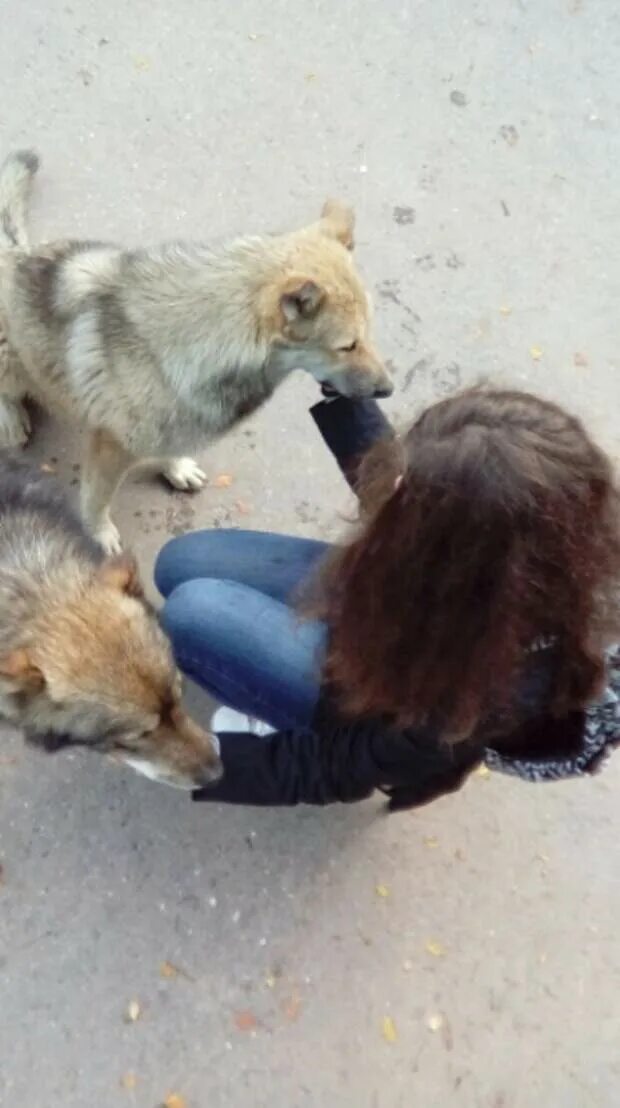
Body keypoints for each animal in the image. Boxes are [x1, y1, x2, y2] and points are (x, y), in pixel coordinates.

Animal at [0, 154, 391, 551]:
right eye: (347, 346)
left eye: (367, 334)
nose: (387, 390)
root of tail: (14, 253)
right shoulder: (111, 447)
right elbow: (97, 497)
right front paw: (99, 534)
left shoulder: (173, 422)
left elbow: (169, 447)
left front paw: (176, 468)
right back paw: (12, 418)